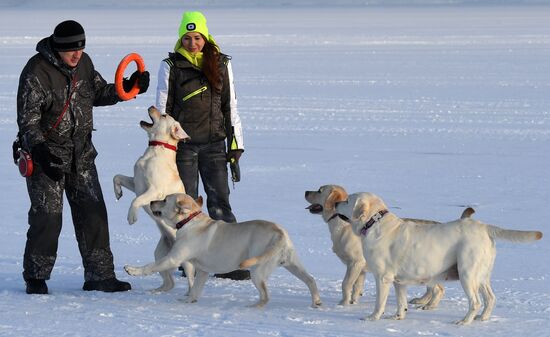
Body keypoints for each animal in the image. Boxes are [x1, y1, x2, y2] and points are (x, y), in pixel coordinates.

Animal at [114, 105, 196, 292]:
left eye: (164, 115)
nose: (151, 106)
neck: (155, 150)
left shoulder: (153, 190)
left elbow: (136, 201)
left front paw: (132, 217)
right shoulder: (136, 183)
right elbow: (117, 177)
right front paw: (117, 192)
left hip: (184, 260)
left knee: (190, 280)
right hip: (160, 254)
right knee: (169, 282)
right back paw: (154, 292)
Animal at [125, 192, 324, 308]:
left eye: (165, 200)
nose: (152, 201)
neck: (189, 221)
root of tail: (279, 232)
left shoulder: (173, 258)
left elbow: (150, 266)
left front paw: (132, 270)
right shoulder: (202, 271)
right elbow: (195, 288)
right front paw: (188, 301)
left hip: (258, 271)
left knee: (266, 296)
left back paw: (252, 307)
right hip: (292, 264)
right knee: (311, 280)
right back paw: (316, 302)